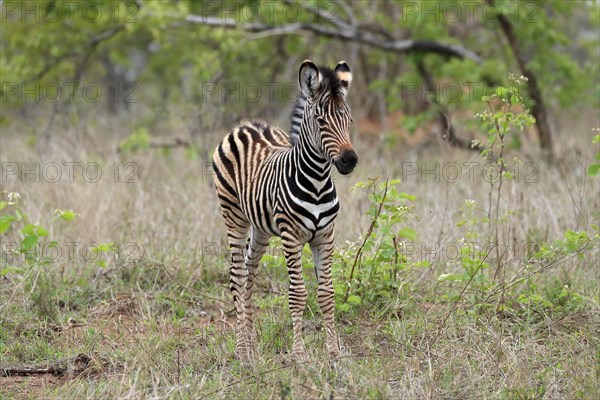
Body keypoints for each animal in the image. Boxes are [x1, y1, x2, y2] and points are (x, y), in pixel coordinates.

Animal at [213, 59, 358, 362]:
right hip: (233, 216)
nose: (349, 160)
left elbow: (326, 293)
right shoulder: (291, 238)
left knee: (250, 273)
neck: (317, 181)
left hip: (261, 228)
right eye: (321, 121)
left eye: (349, 121)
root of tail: (245, 126)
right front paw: (299, 355)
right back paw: (242, 352)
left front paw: (333, 352)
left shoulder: (325, 236)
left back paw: (252, 346)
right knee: (237, 276)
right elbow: (298, 294)